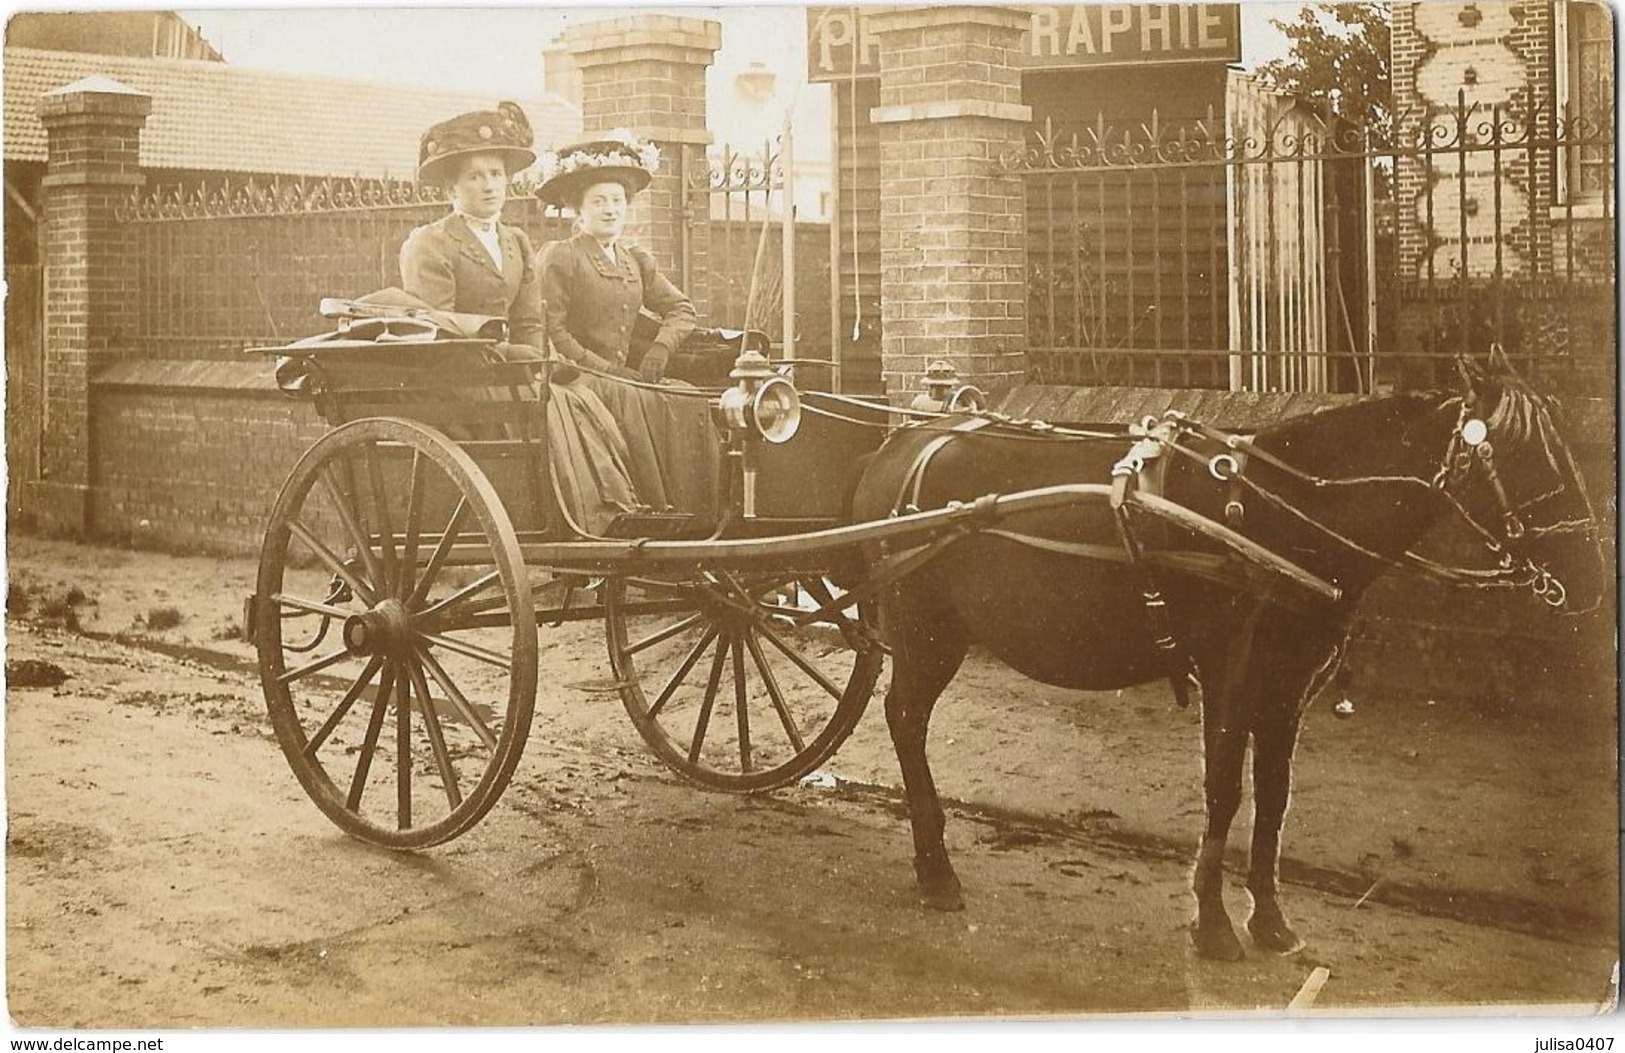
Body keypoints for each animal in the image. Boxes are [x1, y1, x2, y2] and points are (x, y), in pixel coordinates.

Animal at [845, 349, 1605, 955]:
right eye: (1525, 455)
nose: (1596, 576)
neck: (1278, 516)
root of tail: (899, 446)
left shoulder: (1288, 686)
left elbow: (1273, 798)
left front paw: (1269, 920)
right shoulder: (1230, 674)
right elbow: (1223, 791)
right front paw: (1212, 925)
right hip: (926, 634)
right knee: (905, 720)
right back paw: (936, 869)